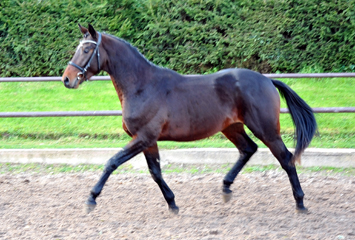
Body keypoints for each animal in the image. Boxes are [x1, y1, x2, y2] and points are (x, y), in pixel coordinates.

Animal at [61, 24, 318, 215]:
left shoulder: (143, 137)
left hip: (266, 129)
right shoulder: (148, 141)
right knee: (248, 149)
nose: (66, 79)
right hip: (232, 128)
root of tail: (267, 80)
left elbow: (112, 162)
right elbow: (155, 172)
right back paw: (226, 188)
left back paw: (300, 203)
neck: (142, 85)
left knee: (286, 159)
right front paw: (172, 204)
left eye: (87, 50)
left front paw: (91, 199)